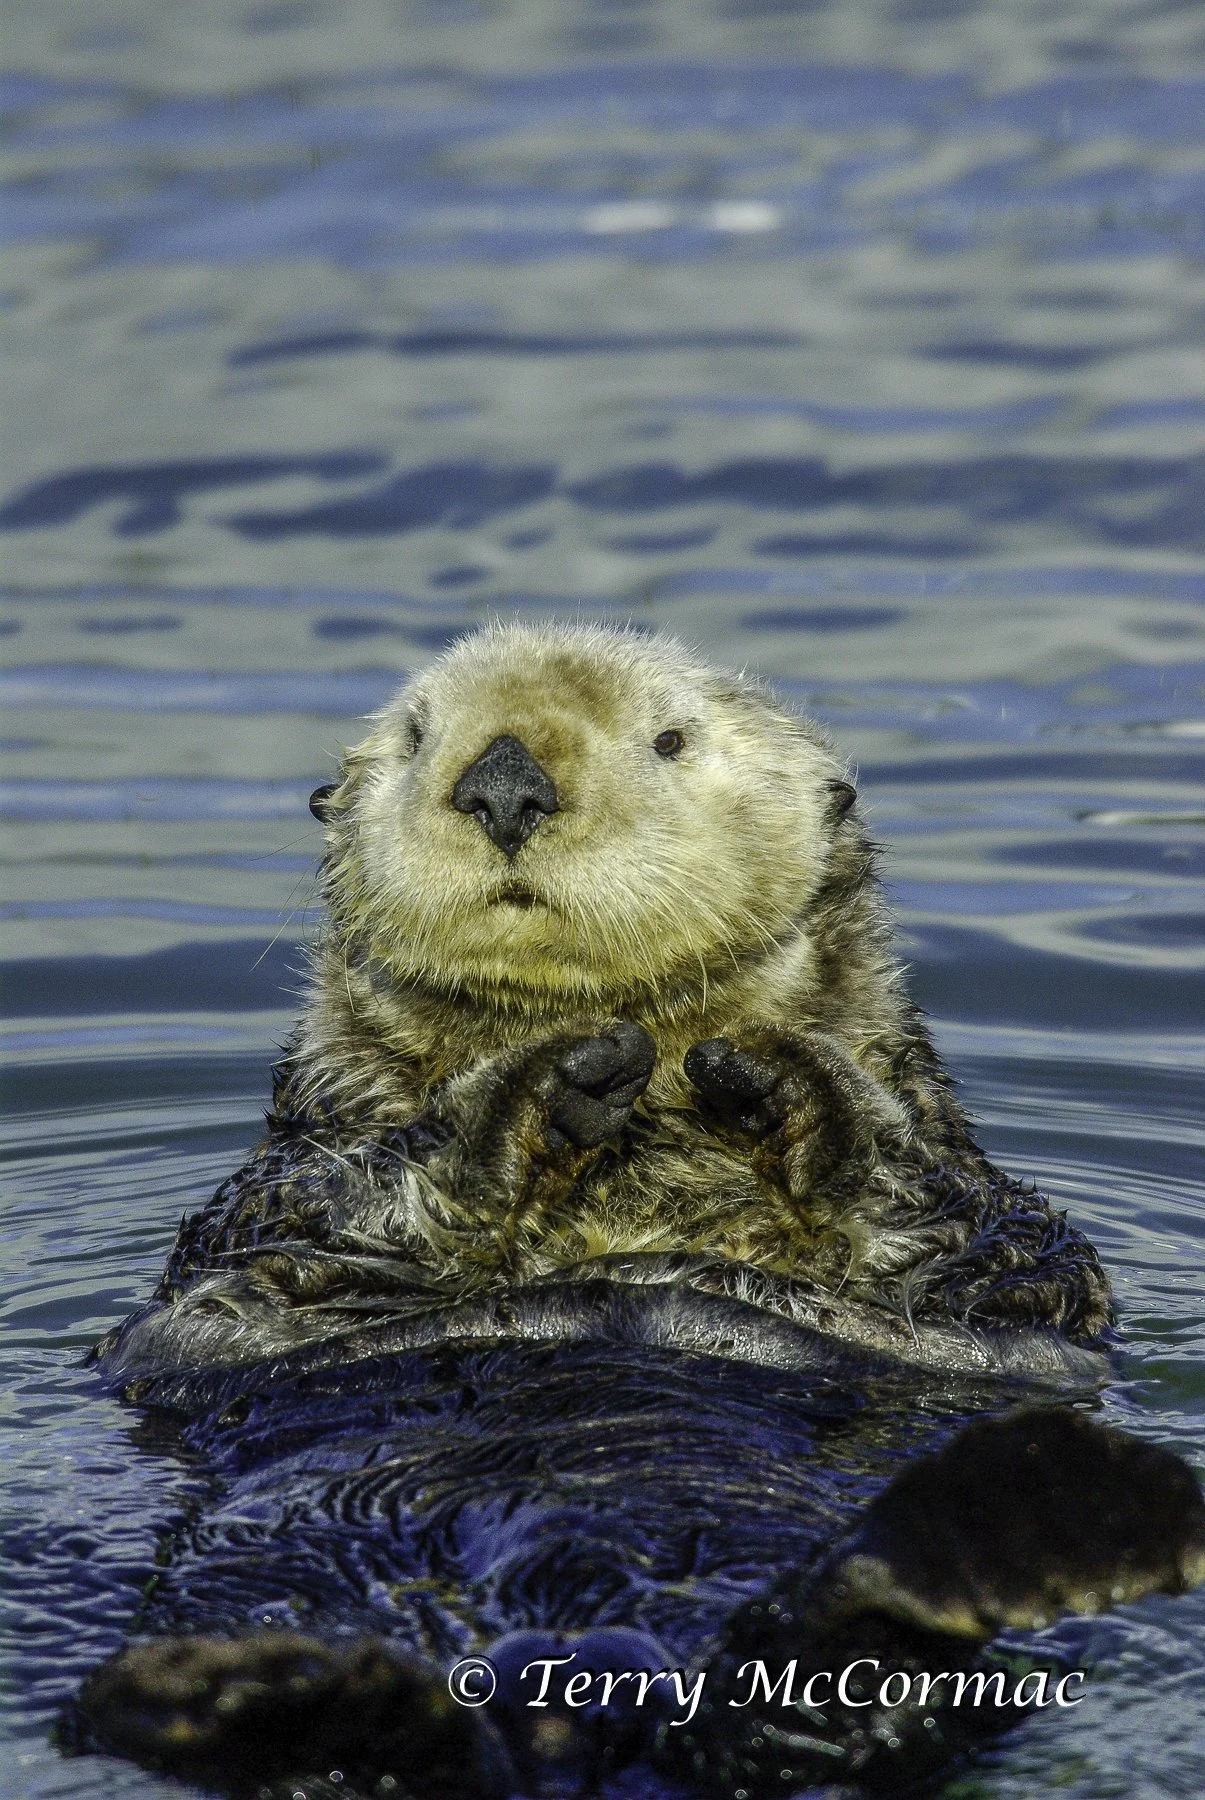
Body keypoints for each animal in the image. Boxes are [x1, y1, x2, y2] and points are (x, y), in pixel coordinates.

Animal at [68, 622, 1204, 1800]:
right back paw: (258, 1693)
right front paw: (535, 1089)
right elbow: (324, 1216)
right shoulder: (271, 1196)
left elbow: (993, 1245)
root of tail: (581, 1695)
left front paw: (785, 1083)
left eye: (669, 739)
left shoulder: (988, 1217)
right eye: (418, 734)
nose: (503, 783)